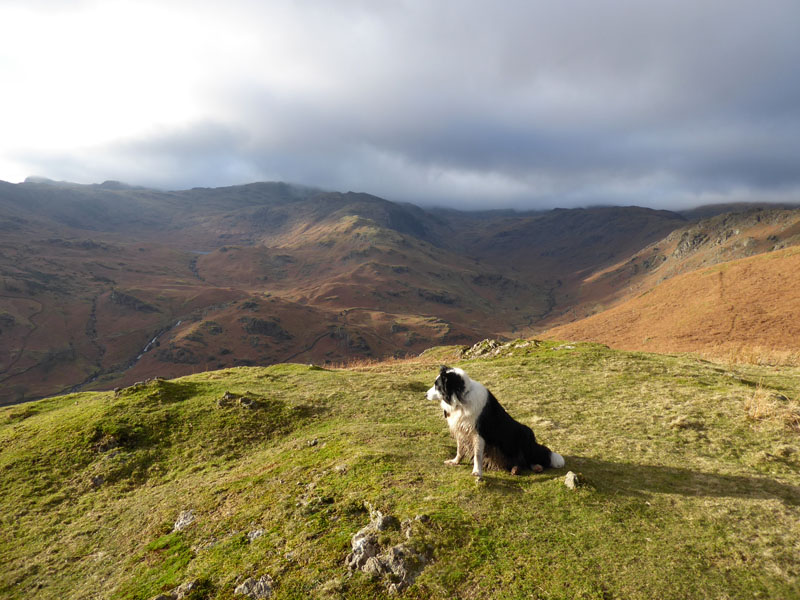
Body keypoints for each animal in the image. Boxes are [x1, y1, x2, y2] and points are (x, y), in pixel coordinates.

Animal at [428, 364, 564, 480]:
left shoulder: (478, 433)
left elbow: (477, 455)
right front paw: (455, 461)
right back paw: (515, 469)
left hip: (524, 433)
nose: (425, 395)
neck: (461, 399)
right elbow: (460, 449)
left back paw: (536, 466)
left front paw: (477, 472)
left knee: (531, 457)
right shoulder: (460, 429)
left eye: (437, 386)